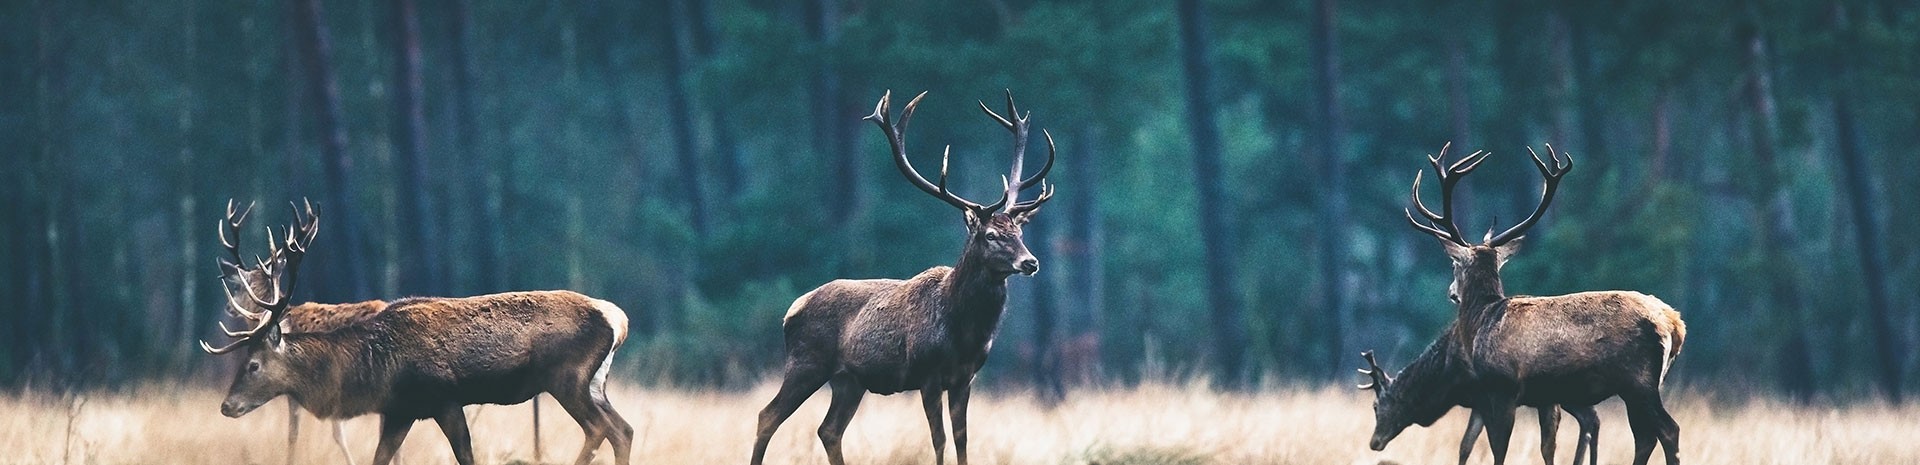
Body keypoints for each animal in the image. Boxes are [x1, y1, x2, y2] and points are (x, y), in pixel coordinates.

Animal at [203, 199, 637, 465]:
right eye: (243, 361)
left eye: (254, 364)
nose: (226, 406)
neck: (375, 366)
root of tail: (618, 320)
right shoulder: (400, 410)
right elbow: (380, 458)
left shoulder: (442, 398)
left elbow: (465, 456)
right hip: (594, 383)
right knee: (623, 429)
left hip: (566, 377)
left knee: (600, 429)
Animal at [744, 90, 1059, 465]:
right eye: (991, 235)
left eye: (1019, 232)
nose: (1031, 262)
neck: (963, 330)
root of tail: (792, 310)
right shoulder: (927, 374)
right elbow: (939, 439)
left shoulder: (965, 378)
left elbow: (962, 439)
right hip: (807, 362)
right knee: (767, 416)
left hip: (849, 380)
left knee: (829, 429)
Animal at [1359, 145, 1689, 465]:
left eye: (1454, 266)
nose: (1452, 293)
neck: (1480, 322)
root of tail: (1675, 324)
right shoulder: (1543, 397)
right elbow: (1546, 447)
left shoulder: (1500, 388)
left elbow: (1497, 448)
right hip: (1639, 386)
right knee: (1645, 437)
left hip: (1638, 381)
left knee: (1668, 430)